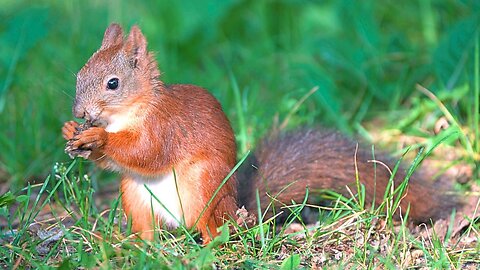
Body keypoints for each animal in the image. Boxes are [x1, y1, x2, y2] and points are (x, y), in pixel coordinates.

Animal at [62, 23, 458, 243]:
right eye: (79, 75)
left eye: (113, 83)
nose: (80, 113)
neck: (128, 113)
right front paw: (72, 132)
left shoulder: (165, 126)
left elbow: (146, 152)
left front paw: (98, 139)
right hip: (136, 197)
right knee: (149, 231)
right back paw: (133, 244)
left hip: (205, 187)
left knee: (216, 230)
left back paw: (210, 245)